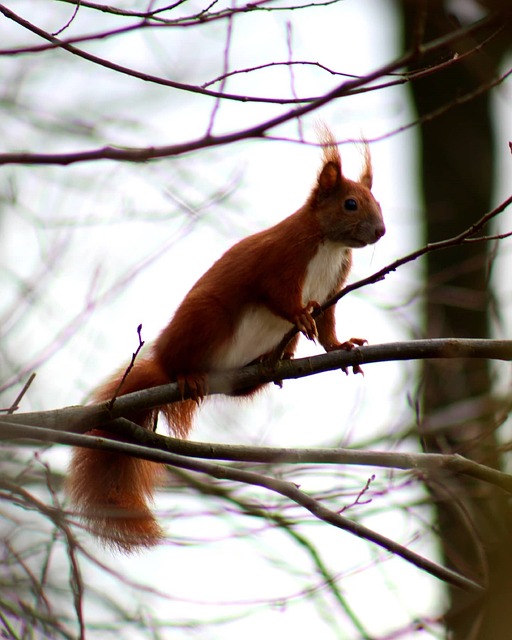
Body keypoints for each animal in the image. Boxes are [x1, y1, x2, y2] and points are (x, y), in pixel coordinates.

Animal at [67, 127, 384, 552]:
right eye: (351, 204)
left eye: (376, 201)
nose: (381, 231)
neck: (329, 244)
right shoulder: (281, 260)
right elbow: (277, 294)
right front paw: (300, 315)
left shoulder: (335, 287)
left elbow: (328, 323)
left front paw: (340, 347)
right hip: (206, 319)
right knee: (182, 361)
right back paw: (188, 376)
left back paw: (270, 366)